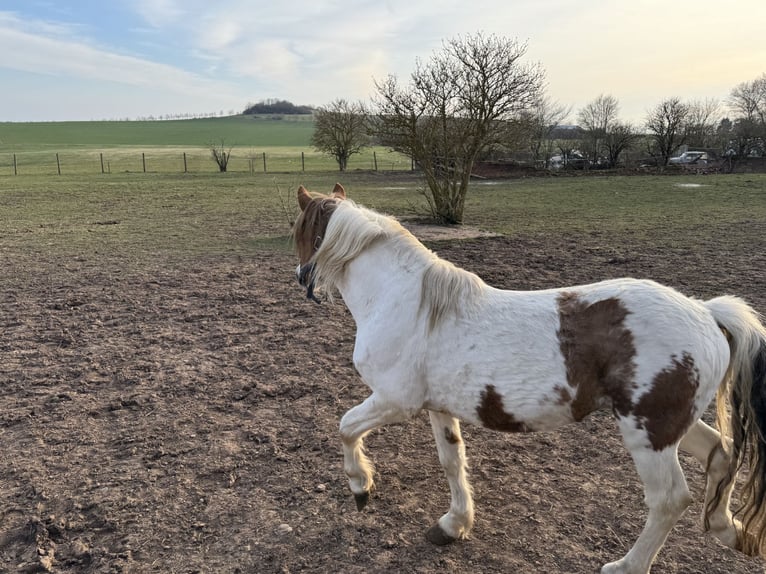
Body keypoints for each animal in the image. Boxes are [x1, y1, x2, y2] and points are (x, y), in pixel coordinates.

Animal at [292, 183, 766, 574]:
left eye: (298, 230)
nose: (301, 277)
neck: (407, 302)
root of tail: (705, 311)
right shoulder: (438, 407)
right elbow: (452, 461)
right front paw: (454, 524)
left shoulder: (393, 401)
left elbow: (346, 427)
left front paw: (360, 486)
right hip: (672, 426)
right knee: (722, 454)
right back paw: (729, 529)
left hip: (648, 433)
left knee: (669, 499)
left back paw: (627, 566)